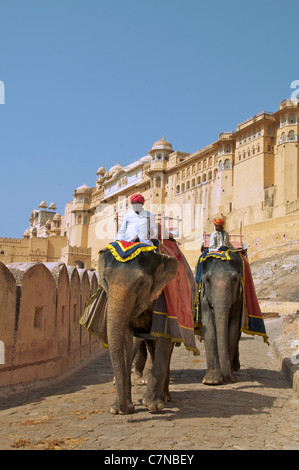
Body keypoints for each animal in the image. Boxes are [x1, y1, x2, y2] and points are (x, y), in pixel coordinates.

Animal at [198, 248, 245, 384]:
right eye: (208, 280)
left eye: (234, 280)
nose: (230, 379)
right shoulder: (204, 299)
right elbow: (208, 327)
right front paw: (211, 381)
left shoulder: (239, 299)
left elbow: (233, 329)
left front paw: (227, 378)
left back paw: (234, 367)